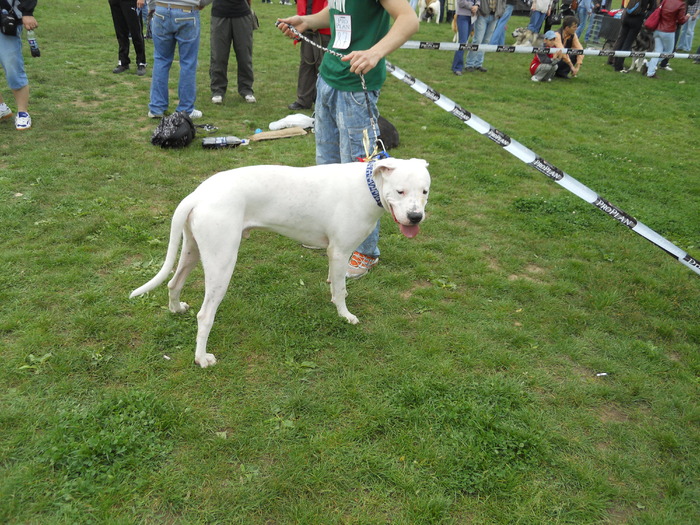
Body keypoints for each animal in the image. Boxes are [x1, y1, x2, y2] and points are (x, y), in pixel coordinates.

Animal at [129, 158, 430, 366]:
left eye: (425, 191)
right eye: (400, 191)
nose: (416, 217)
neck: (369, 188)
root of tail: (198, 194)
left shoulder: (334, 254)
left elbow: (334, 282)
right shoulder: (340, 251)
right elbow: (342, 291)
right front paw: (345, 315)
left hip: (192, 251)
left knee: (173, 283)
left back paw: (176, 309)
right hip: (221, 263)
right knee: (205, 315)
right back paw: (202, 358)